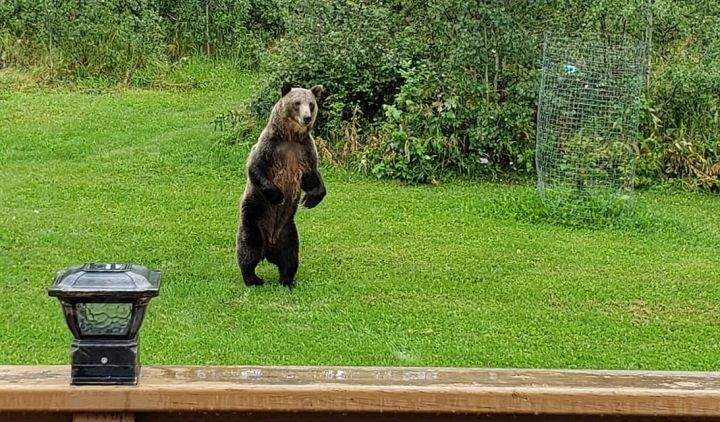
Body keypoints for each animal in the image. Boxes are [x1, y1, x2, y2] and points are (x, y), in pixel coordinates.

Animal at [235, 83, 326, 289]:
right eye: (297, 103)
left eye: (311, 104)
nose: (306, 118)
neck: (291, 137)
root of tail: (269, 247)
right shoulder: (269, 147)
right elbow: (255, 168)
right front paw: (278, 195)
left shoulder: (305, 152)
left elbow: (312, 177)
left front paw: (309, 199)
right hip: (253, 217)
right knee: (248, 249)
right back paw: (253, 279)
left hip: (287, 229)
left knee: (290, 256)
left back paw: (287, 280)